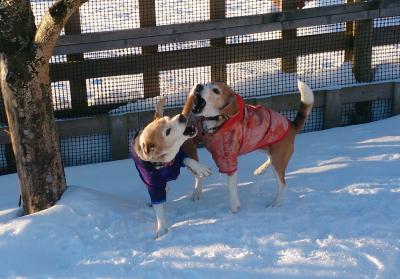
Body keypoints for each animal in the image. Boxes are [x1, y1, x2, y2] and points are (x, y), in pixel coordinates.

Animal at [132, 98, 212, 238]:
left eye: (168, 118)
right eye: (167, 131)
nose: (181, 117)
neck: (163, 163)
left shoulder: (180, 156)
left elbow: (187, 160)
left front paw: (201, 168)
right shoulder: (153, 185)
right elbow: (158, 209)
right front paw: (161, 229)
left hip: (190, 153)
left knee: (197, 177)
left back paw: (197, 191)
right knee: (166, 189)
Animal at [183, 82, 314, 213]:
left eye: (216, 91)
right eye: (207, 83)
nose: (198, 86)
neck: (218, 121)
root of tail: (292, 125)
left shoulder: (229, 159)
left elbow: (231, 185)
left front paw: (234, 206)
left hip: (278, 160)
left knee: (282, 184)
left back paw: (275, 203)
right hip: (264, 147)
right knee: (270, 160)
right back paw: (261, 169)